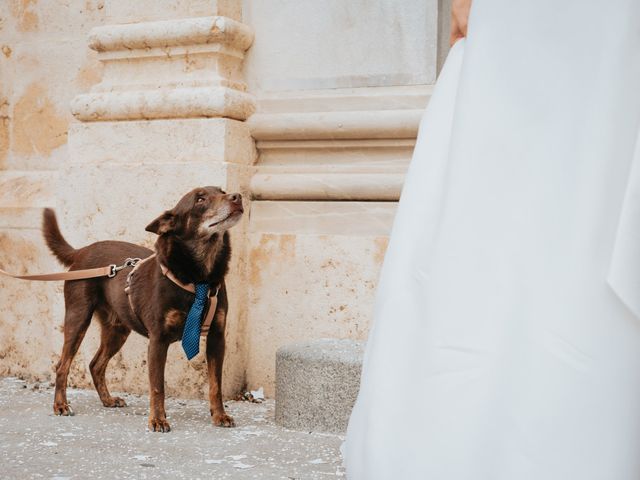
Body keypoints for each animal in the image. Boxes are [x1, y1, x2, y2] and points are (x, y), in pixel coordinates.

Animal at [42, 187, 242, 432]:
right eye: (200, 199)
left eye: (222, 191)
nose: (238, 197)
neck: (199, 279)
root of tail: (81, 252)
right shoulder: (158, 340)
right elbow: (157, 386)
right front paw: (157, 419)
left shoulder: (216, 338)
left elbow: (216, 385)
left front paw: (219, 415)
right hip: (78, 318)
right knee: (63, 365)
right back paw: (60, 405)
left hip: (117, 330)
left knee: (95, 364)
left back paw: (108, 399)